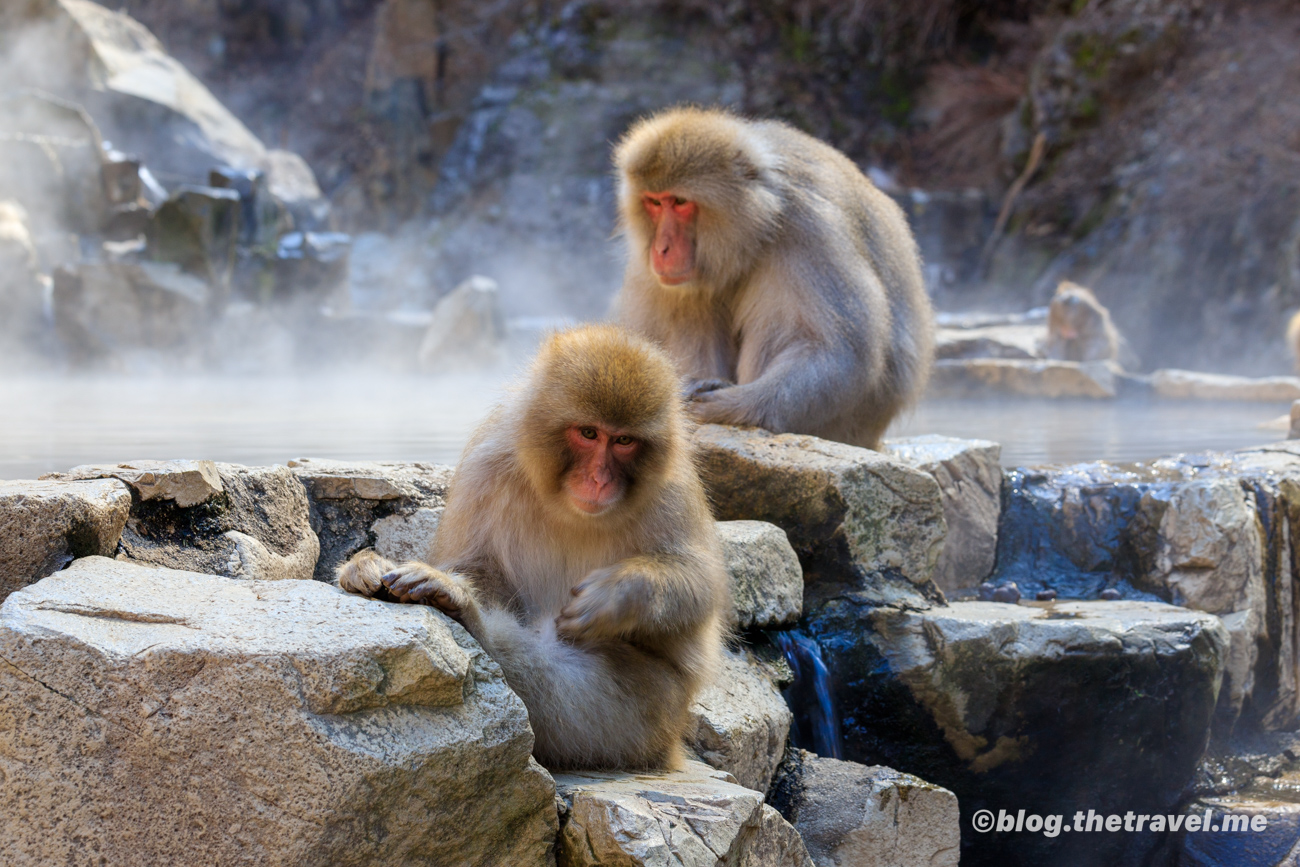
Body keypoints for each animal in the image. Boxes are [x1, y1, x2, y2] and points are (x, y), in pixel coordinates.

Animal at [338, 327, 733, 774]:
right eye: (589, 433)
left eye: (624, 441)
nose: (599, 479)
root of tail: (671, 745)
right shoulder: (487, 464)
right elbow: (479, 565)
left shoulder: (673, 488)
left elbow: (701, 585)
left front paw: (617, 595)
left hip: (651, 714)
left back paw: (466, 614)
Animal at [611, 105, 935, 452]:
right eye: (654, 202)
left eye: (681, 202)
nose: (661, 249)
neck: (760, 223)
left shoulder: (810, 231)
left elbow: (834, 350)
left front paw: (731, 405)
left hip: (850, 426)